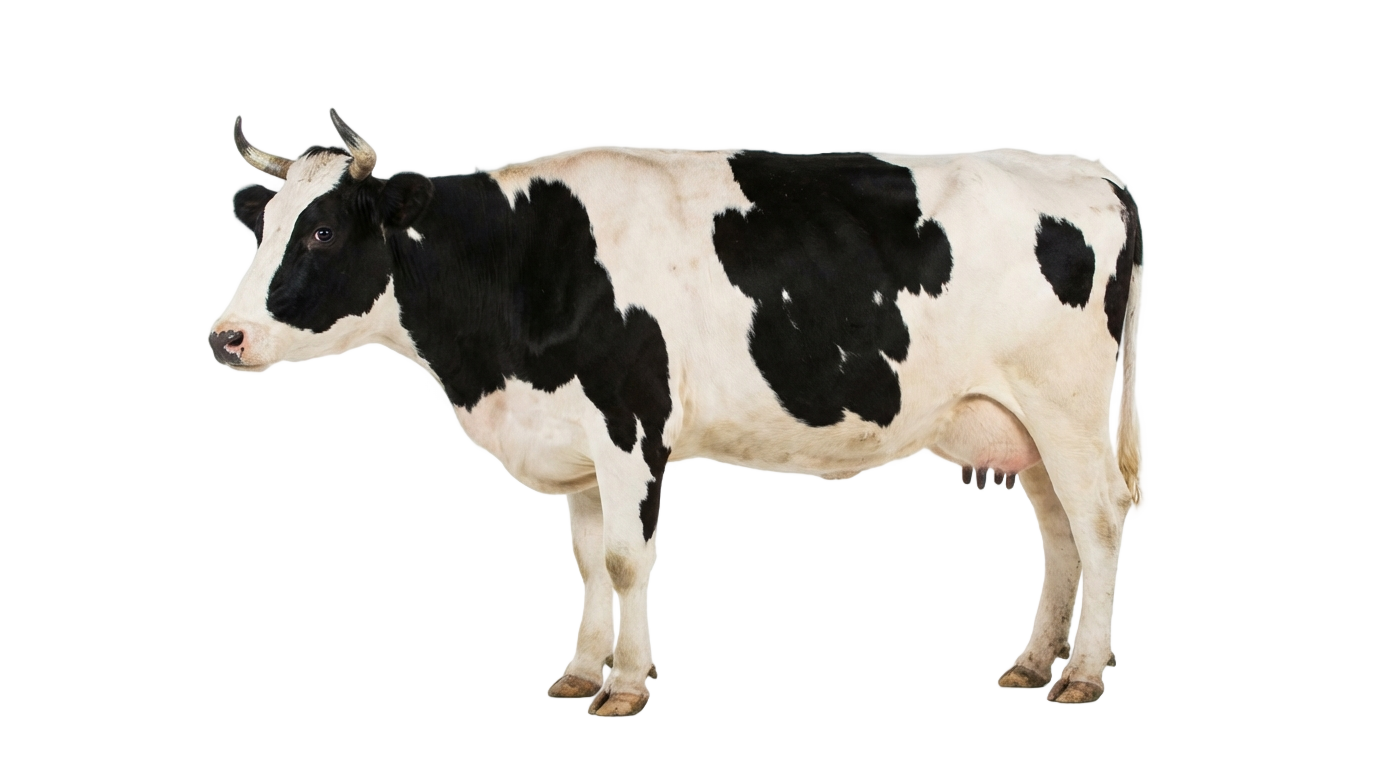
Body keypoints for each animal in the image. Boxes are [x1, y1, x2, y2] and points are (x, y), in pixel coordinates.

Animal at [209, 109, 1140, 715]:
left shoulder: (629, 423)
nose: (226, 335)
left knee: (1097, 530)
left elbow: (625, 560)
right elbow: (587, 559)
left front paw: (626, 685)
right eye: (265, 227)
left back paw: (1083, 676)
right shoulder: (575, 439)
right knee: (1061, 533)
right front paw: (579, 671)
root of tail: (1091, 175)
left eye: (323, 231)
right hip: (1025, 419)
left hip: (1070, 405)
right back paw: (1032, 666)